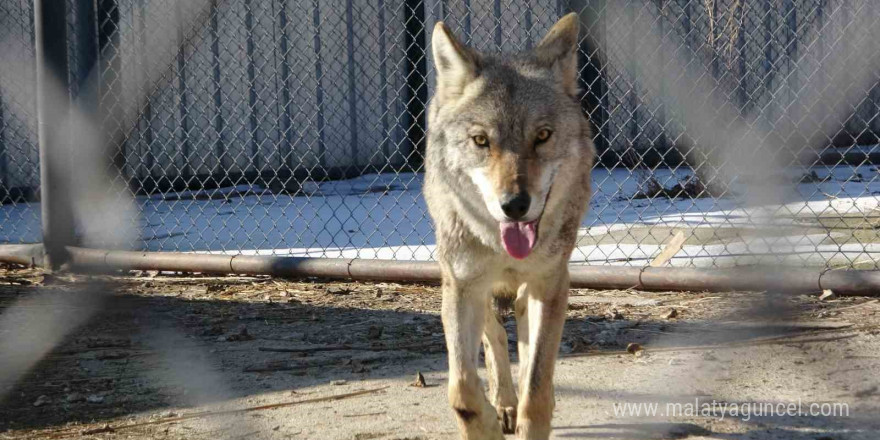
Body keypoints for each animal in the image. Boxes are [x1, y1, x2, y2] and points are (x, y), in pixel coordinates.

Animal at [422, 12, 596, 438]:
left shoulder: (551, 282)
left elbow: (536, 388)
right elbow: (462, 390)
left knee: (523, 331)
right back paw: (503, 402)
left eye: (543, 136)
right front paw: (488, 421)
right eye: (481, 140)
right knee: (494, 334)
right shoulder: (461, 285)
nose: (515, 206)